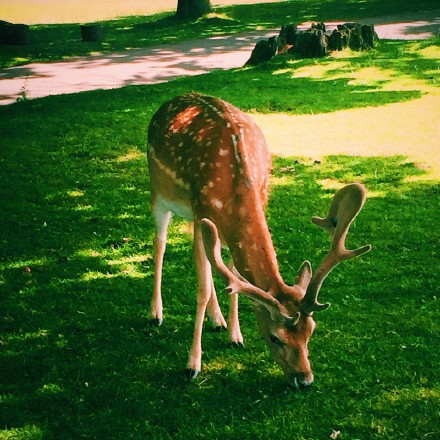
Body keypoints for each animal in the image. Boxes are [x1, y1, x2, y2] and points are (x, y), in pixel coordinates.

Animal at [148, 93, 372, 388]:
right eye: (275, 337)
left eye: (311, 330)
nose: (305, 379)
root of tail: (173, 100)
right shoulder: (201, 214)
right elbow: (203, 288)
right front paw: (192, 365)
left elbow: (232, 276)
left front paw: (235, 336)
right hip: (159, 192)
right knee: (160, 243)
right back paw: (156, 313)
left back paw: (217, 320)